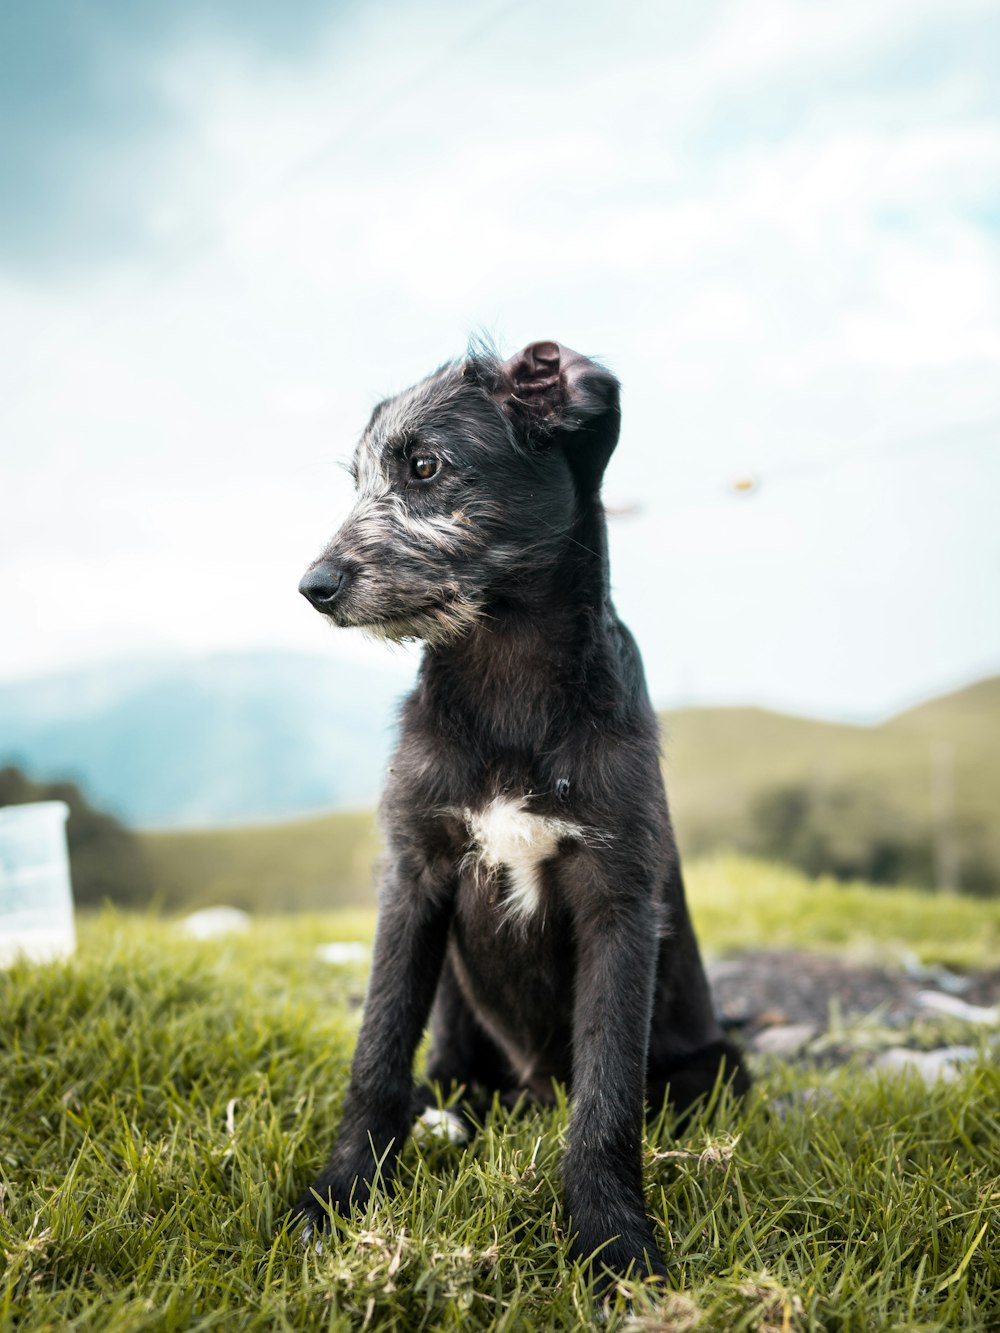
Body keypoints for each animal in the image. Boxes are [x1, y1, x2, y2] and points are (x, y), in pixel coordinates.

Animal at [293, 341, 746, 1279]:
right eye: (357, 477)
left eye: (425, 466)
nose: (313, 585)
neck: (506, 679)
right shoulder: (413, 874)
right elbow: (376, 1053)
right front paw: (340, 1194)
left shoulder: (618, 897)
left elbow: (608, 1096)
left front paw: (613, 1240)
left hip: (718, 1063)